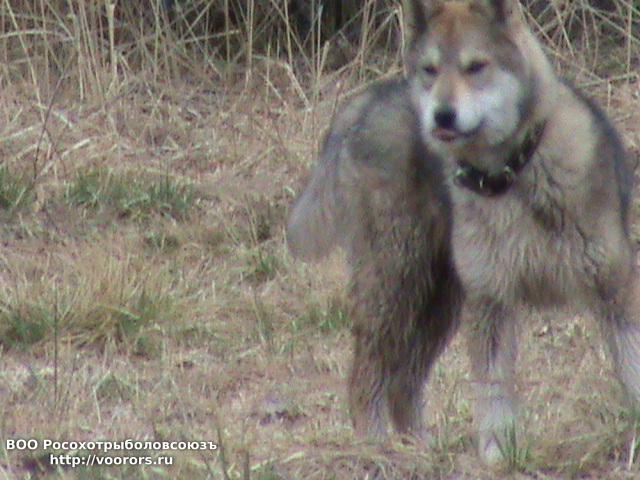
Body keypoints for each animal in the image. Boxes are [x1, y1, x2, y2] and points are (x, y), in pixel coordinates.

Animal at [287, 78, 463, 439]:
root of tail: (372, 98)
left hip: (441, 291)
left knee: (405, 377)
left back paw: (417, 440)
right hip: (398, 269)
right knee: (371, 361)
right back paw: (374, 435)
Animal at [406, 0, 640, 466]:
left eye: (476, 66)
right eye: (429, 70)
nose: (442, 114)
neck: (511, 176)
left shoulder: (614, 286)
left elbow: (632, 364)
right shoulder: (488, 299)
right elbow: (493, 388)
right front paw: (497, 453)